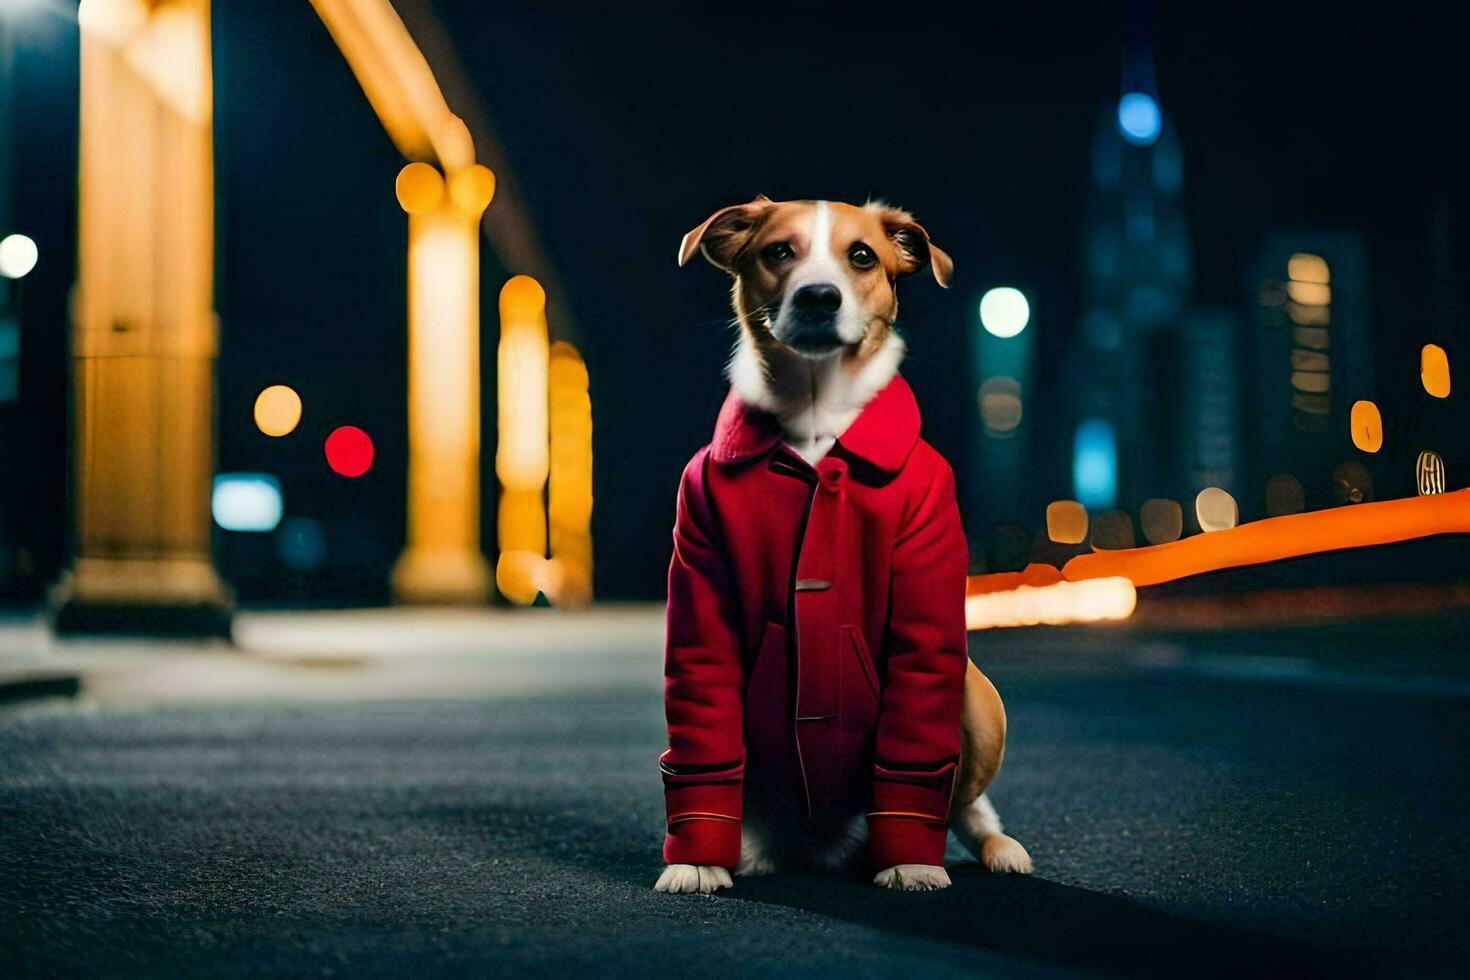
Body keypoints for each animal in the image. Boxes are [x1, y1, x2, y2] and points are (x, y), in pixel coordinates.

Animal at [655, 195, 1034, 893]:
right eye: (778, 251)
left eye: (862, 256)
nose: (818, 296)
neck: (813, 418)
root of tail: (823, 847)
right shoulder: (700, 586)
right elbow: (702, 714)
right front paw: (694, 856)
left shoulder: (926, 592)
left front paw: (912, 860)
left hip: (975, 697)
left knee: (964, 804)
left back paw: (993, 846)